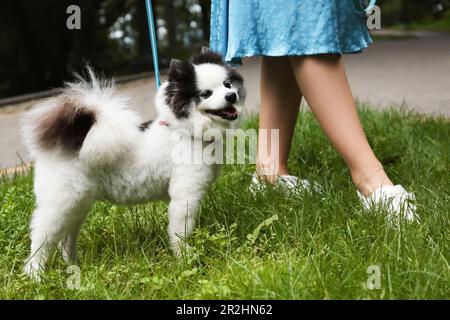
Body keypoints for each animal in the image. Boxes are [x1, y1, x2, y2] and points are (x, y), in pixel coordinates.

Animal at [21, 48, 246, 280]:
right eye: (206, 94)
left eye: (227, 84)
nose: (231, 95)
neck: (187, 133)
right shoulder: (185, 196)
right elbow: (180, 232)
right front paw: (185, 258)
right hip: (60, 205)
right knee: (41, 240)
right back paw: (36, 276)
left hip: (77, 205)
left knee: (66, 238)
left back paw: (74, 265)